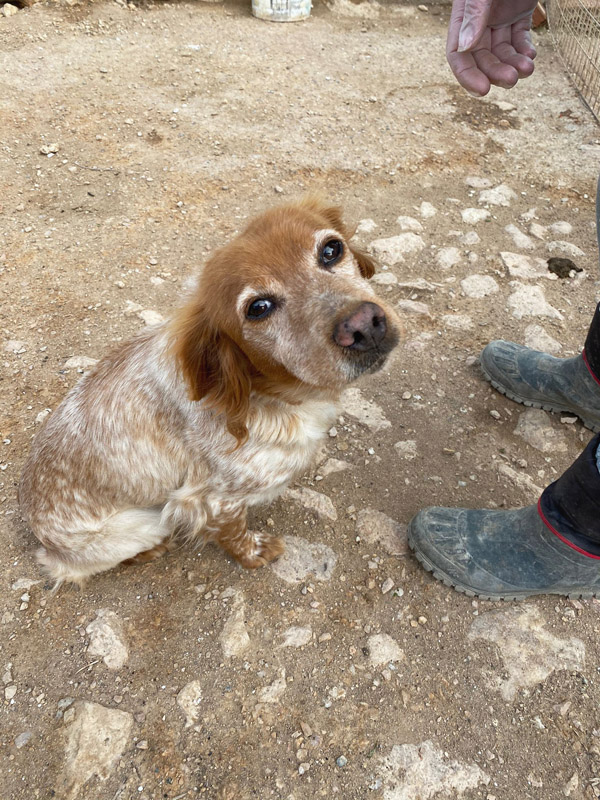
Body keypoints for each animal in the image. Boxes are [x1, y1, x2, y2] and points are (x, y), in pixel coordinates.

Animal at [18, 198, 400, 584]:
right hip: (142, 523)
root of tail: (39, 532)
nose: (364, 326)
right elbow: (233, 531)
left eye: (331, 250)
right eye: (258, 308)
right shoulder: (212, 498)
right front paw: (255, 554)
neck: (267, 393)